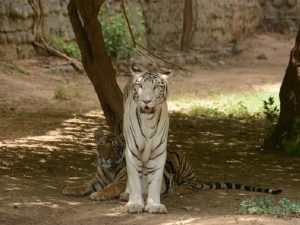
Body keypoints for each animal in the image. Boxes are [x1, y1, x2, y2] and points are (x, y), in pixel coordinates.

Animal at [62, 131, 282, 201]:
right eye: (101, 146)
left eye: (115, 147)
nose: (105, 158)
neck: (109, 169)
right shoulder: (96, 179)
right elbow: (83, 184)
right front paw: (69, 188)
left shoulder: (123, 181)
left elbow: (111, 188)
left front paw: (99, 195)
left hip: (181, 164)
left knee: (192, 187)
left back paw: (177, 190)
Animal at [122, 64, 173, 214]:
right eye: (140, 85)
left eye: (156, 87)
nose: (146, 101)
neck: (148, 122)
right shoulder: (132, 151)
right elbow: (134, 178)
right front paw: (134, 204)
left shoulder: (158, 152)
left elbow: (155, 180)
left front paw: (154, 205)